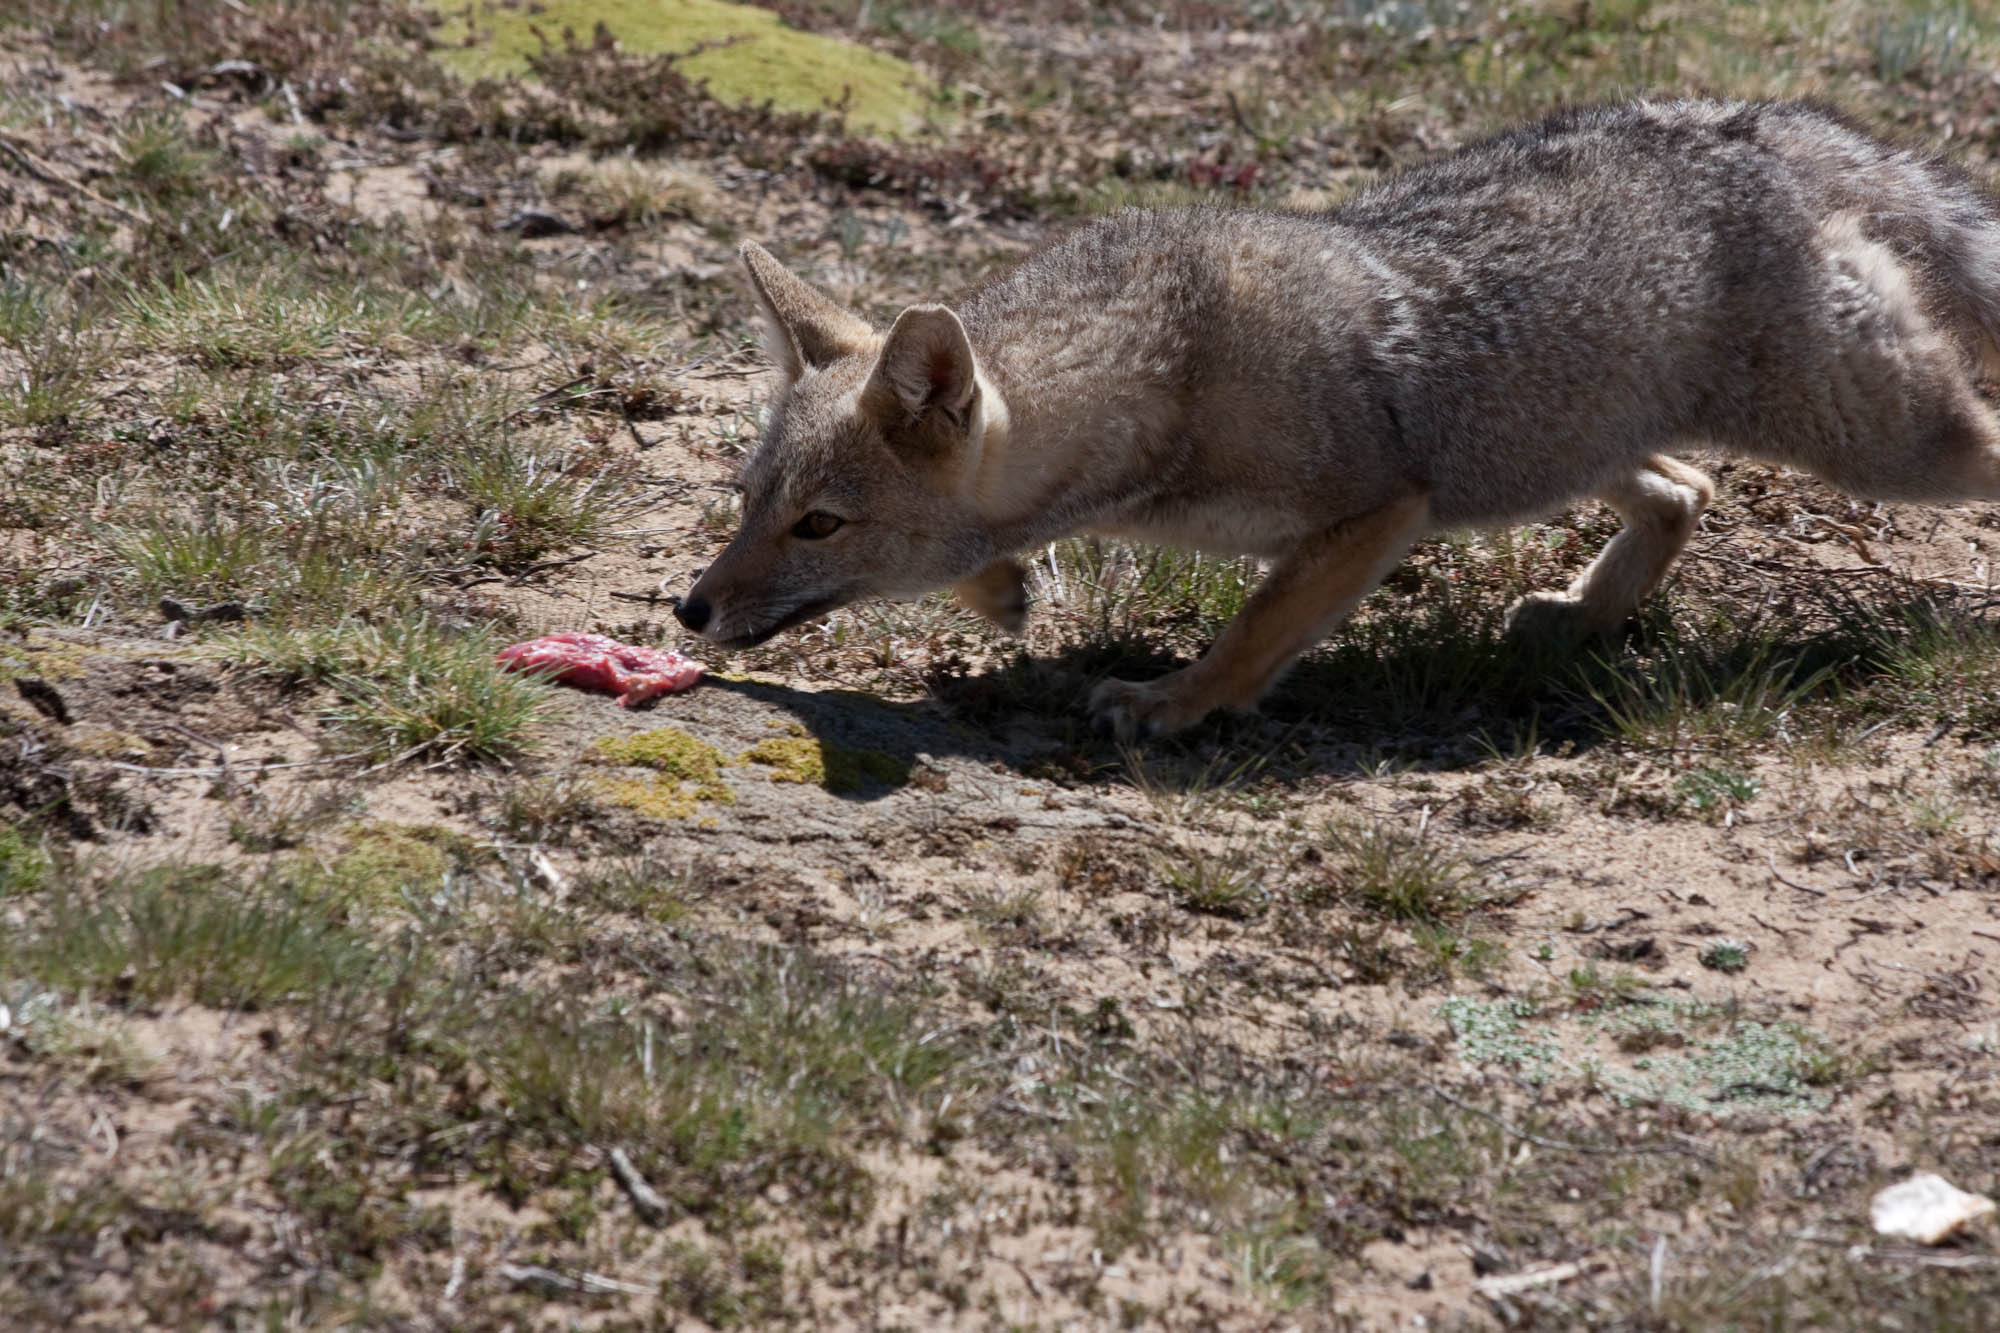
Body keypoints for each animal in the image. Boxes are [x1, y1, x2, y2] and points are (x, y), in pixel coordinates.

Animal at [676, 98, 2000, 732]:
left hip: (1885, 447)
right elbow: (994, 556)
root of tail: (1750, 125)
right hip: (1544, 449)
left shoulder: (1375, 511)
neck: (1165, 357)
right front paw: (1003, 588)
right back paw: (1584, 616)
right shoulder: (1405, 499)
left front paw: (1173, 703)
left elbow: (1255, 628)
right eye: (746, 504)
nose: (686, 608)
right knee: (1688, 485)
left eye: (817, 526)